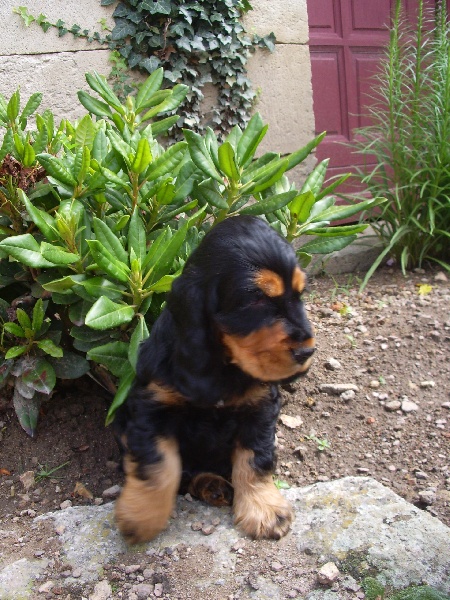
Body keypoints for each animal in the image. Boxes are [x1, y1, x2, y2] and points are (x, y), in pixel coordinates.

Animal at [114, 214, 314, 544]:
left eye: (300, 295)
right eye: (256, 300)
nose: (307, 351)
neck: (224, 365)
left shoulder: (260, 408)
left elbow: (255, 459)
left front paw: (265, 510)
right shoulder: (151, 406)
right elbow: (157, 464)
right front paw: (141, 517)